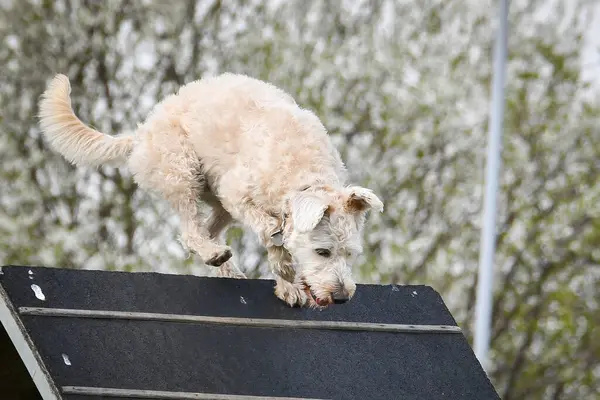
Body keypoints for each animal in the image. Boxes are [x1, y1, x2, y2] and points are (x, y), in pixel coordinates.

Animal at [38, 72, 384, 308]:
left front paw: (287, 282)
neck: (305, 175)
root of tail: (140, 133)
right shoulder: (237, 193)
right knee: (191, 232)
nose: (341, 297)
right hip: (183, 170)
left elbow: (278, 235)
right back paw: (215, 255)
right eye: (323, 252)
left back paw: (227, 267)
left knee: (207, 230)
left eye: (350, 254)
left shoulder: (237, 199)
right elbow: (271, 229)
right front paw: (285, 271)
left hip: (215, 198)